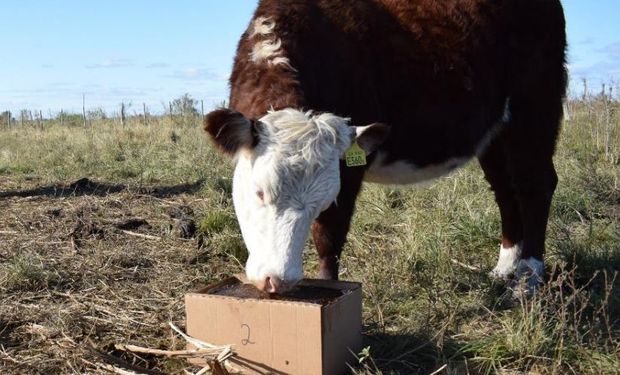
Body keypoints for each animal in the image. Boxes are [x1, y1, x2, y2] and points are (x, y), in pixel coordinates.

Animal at [203, 0, 568, 300]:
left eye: (322, 201)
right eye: (260, 192)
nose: (278, 280)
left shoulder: (349, 168)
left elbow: (329, 238)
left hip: (534, 110)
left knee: (535, 186)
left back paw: (528, 278)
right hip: (494, 135)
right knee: (506, 191)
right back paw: (505, 267)